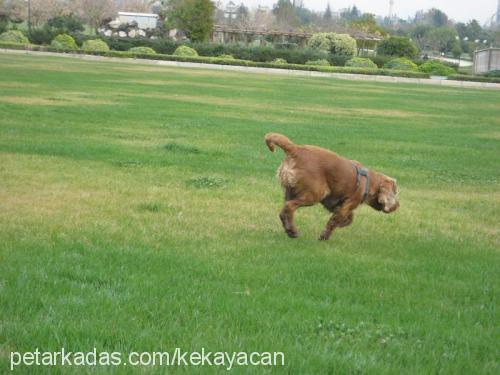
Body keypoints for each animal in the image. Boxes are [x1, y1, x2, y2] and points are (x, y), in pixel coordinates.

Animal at [264, 134, 400, 241]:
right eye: (395, 192)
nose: (398, 205)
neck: (368, 182)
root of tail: (296, 149)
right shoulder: (348, 204)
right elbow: (335, 221)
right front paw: (325, 235)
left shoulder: (336, 205)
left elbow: (348, 218)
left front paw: (342, 223)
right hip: (314, 195)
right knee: (289, 207)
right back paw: (293, 231)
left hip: (290, 192)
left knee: (283, 212)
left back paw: (290, 230)